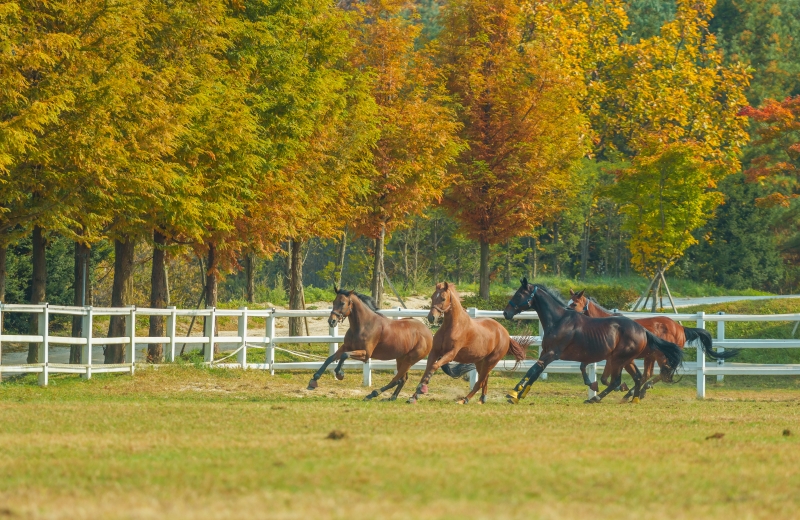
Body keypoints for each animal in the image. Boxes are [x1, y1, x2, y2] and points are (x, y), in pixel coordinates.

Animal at [500, 278, 680, 404]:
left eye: (519, 294)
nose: (506, 313)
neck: (559, 320)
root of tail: (643, 330)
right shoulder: (545, 352)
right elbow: (534, 372)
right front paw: (518, 393)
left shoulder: (552, 354)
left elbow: (533, 370)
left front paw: (514, 394)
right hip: (626, 360)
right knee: (637, 377)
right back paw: (633, 398)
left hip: (619, 359)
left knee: (618, 381)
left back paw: (596, 398)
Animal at [568, 288, 736, 398]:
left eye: (574, 304)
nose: (566, 314)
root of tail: (680, 328)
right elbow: (587, 368)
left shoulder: (615, 358)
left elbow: (604, 376)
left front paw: (619, 387)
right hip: (652, 356)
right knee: (653, 374)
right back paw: (635, 392)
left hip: (661, 355)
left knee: (664, 372)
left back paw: (641, 390)